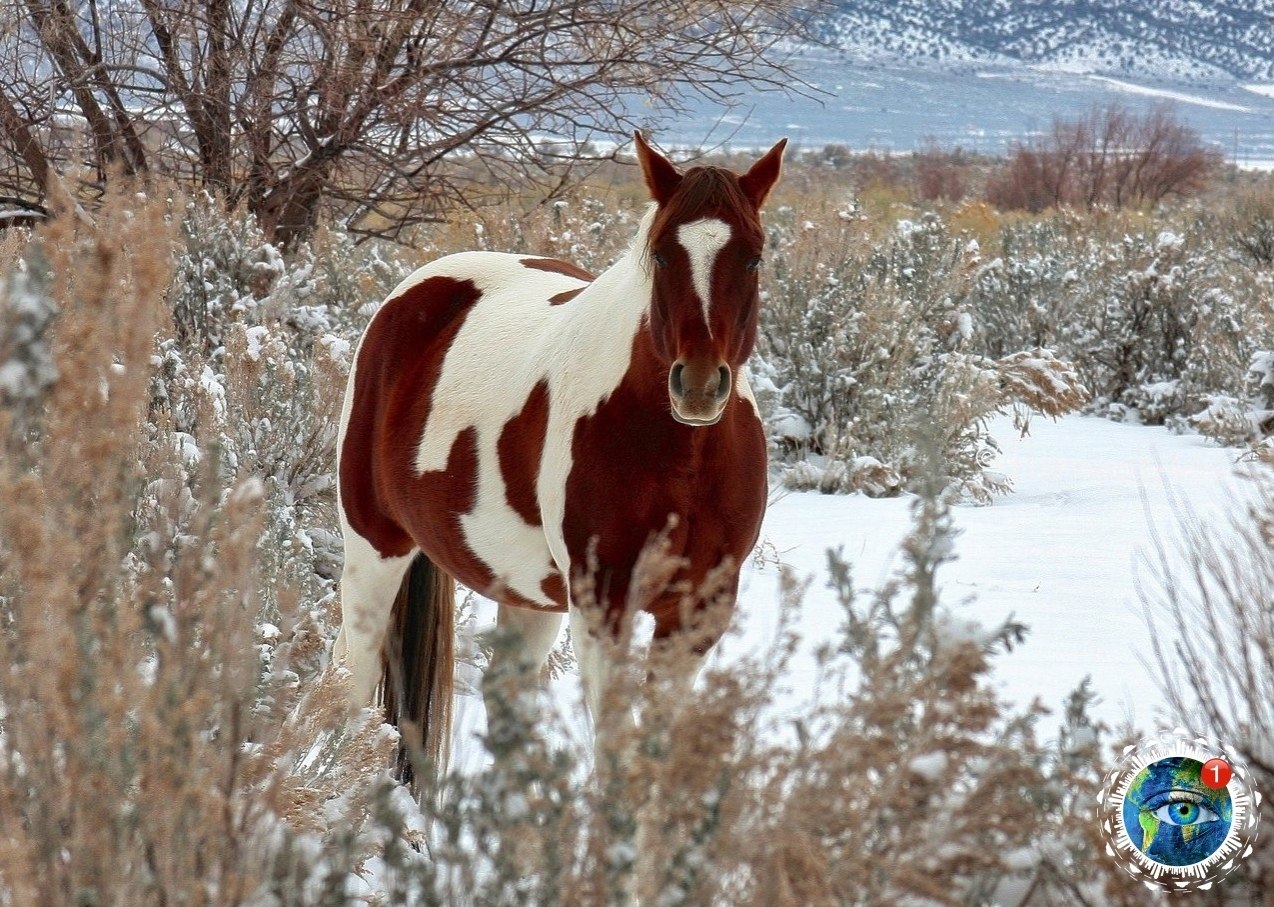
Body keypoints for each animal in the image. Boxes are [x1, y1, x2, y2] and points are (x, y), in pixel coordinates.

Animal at [333, 131, 779, 774]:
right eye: (662, 256)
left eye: (753, 258)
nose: (697, 385)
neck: (680, 453)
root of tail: (414, 294)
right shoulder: (604, 608)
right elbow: (614, 753)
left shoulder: (697, 611)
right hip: (374, 549)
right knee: (354, 681)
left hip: (527, 594)